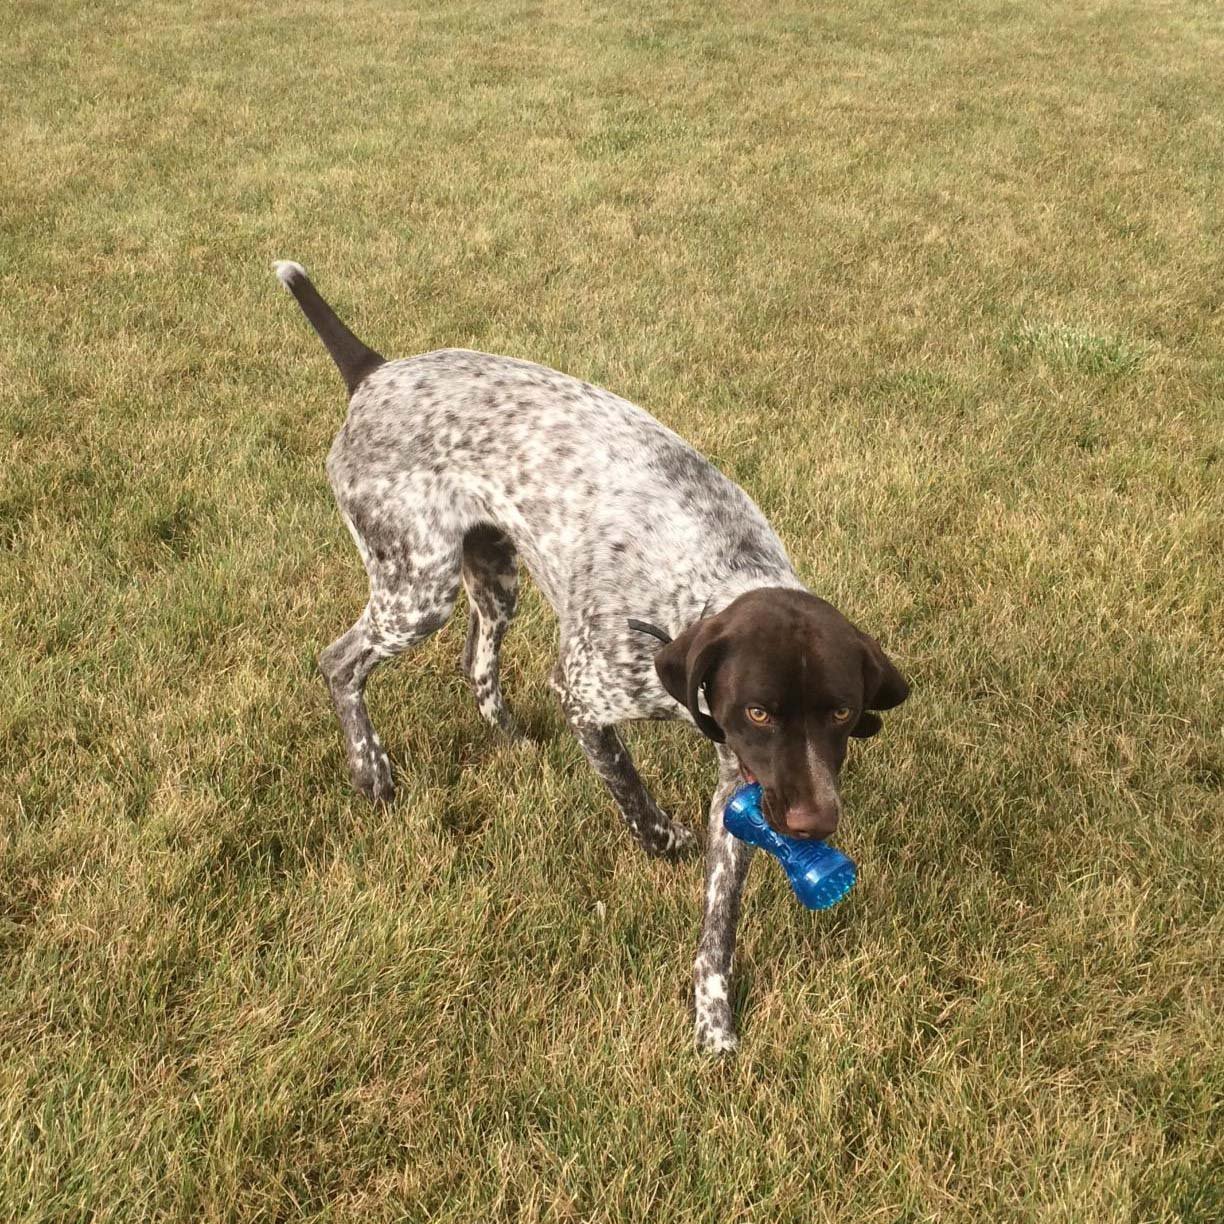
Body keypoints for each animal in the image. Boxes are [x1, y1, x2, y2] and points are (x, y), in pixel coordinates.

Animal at [277, 260, 910, 1052]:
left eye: (842, 713)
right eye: (761, 712)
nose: (814, 826)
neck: (709, 577)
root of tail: (374, 371)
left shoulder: (740, 780)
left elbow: (719, 918)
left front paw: (713, 1016)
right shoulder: (584, 690)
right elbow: (628, 787)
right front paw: (660, 839)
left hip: (493, 575)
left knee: (476, 664)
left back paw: (513, 743)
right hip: (417, 589)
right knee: (340, 662)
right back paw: (372, 772)